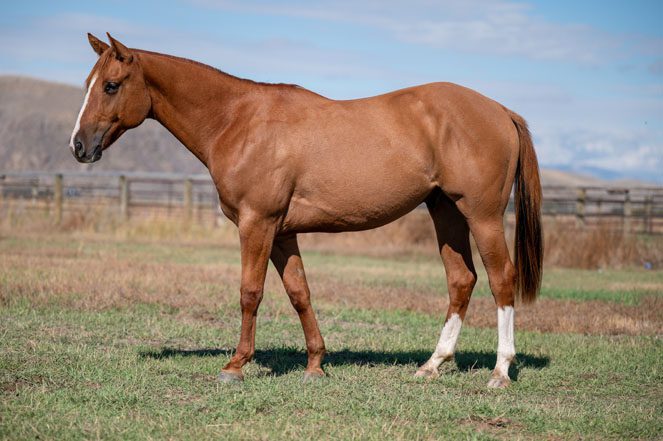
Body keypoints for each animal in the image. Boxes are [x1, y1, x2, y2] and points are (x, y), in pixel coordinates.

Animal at [70, 33, 542, 388]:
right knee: (461, 280)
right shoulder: (281, 232)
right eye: (89, 84)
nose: (79, 146)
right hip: (444, 211)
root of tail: (500, 110)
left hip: (482, 216)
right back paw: (432, 364)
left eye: (111, 85)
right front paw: (315, 364)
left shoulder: (256, 224)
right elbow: (300, 293)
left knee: (501, 280)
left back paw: (500, 371)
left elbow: (250, 292)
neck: (238, 120)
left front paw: (235, 365)